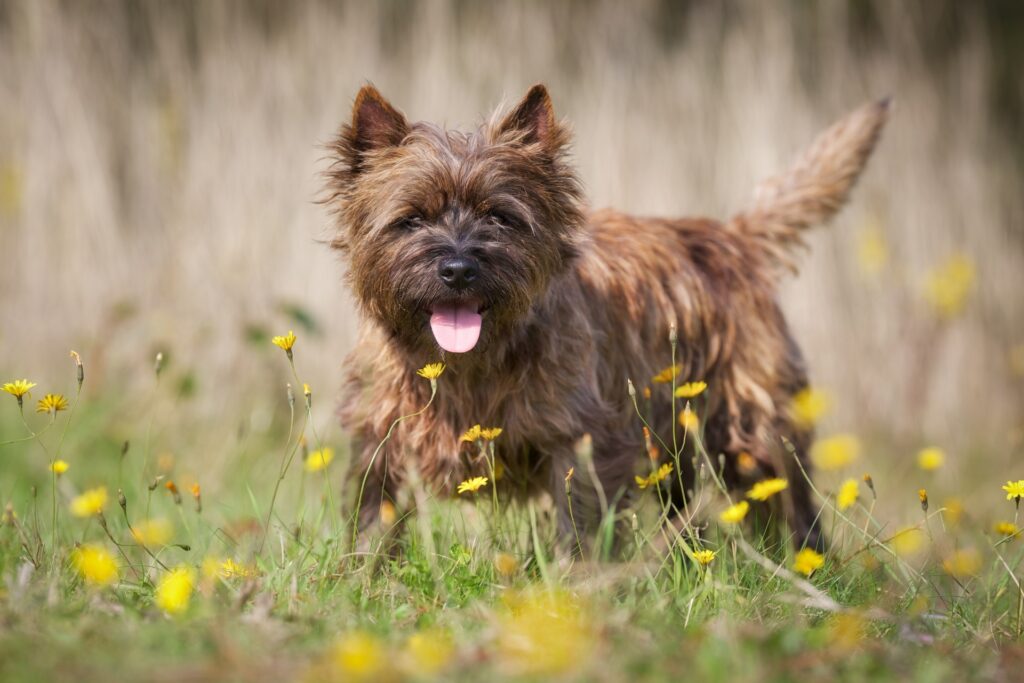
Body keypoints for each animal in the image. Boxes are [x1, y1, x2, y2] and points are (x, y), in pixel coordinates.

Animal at [325, 82, 888, 548]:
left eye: (500, 217)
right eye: (411, 219)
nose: (459, 268)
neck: (467, 365)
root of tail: (734, 237)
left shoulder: (582, 440)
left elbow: (578, 525)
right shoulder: (381, 436)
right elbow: (372, 519)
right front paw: (365, 579)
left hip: (752, 428)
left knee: (789, 505)